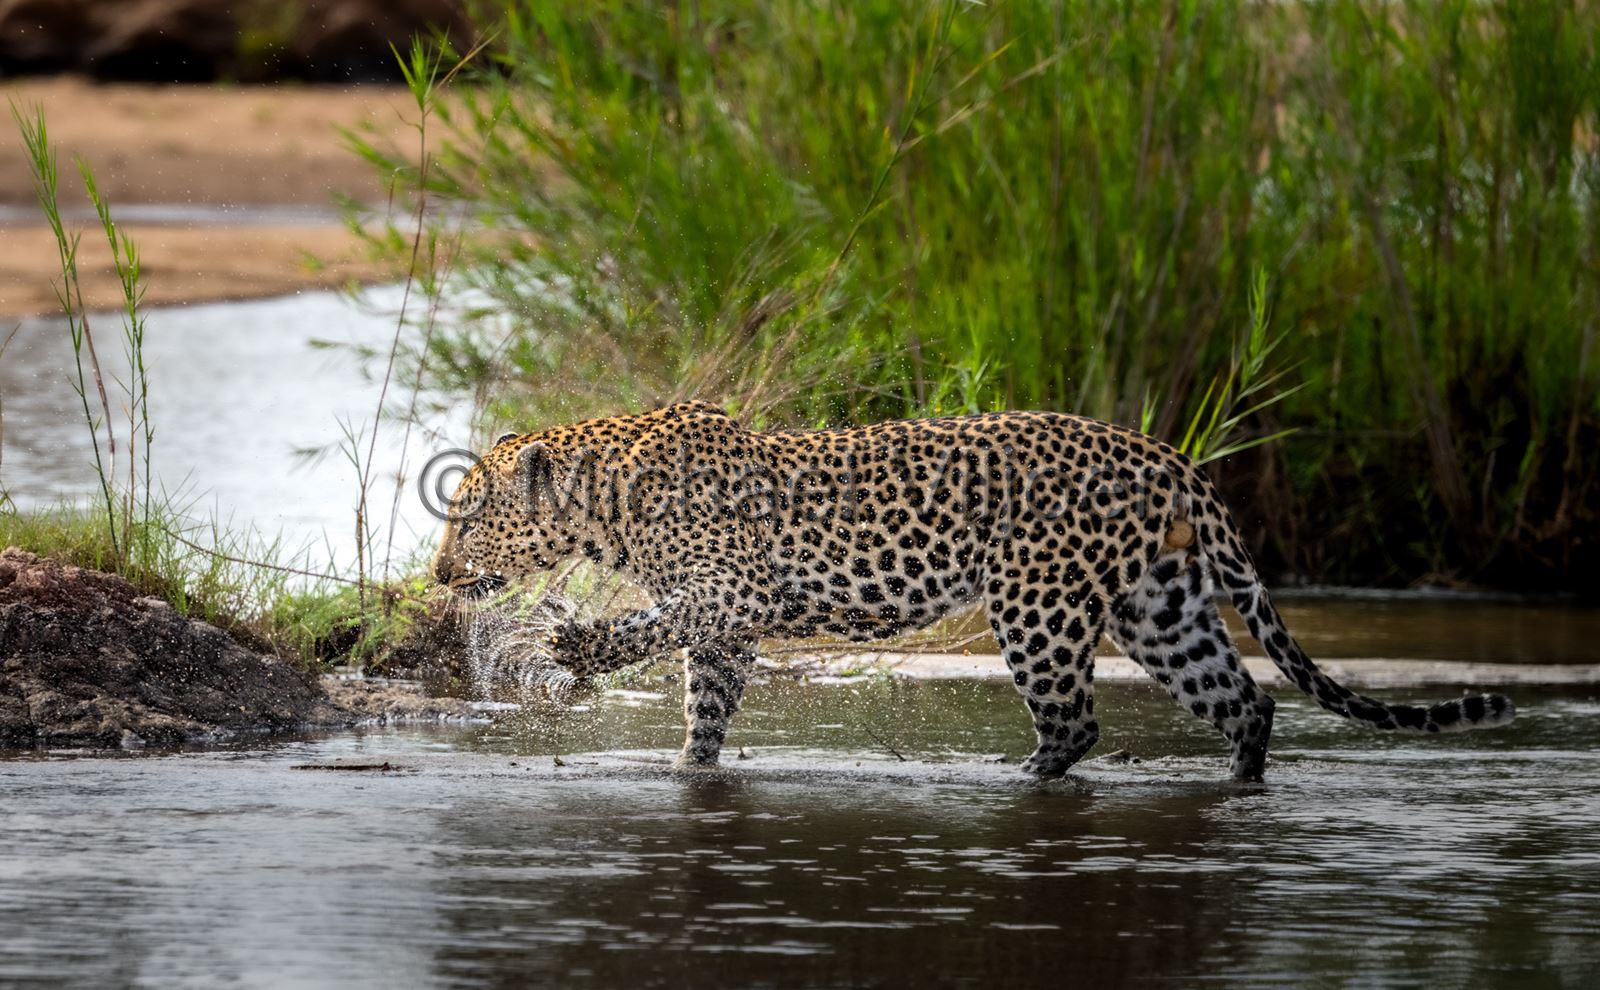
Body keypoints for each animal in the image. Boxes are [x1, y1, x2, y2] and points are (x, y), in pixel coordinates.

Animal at [432, 401, 1515, 780]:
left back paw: (1012, 784)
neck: (608, 502)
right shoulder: (732, 627)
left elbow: (657, 622)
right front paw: (690, 773)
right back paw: (1235, 789)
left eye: (467, 515)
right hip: (1160, 610)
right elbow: (705, 703)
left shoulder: (742, 594)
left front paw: (576, 645)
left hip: (1036, 605)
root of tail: (1169, 456)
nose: (438, 573)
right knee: (1246, 703)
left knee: (1074, 722)